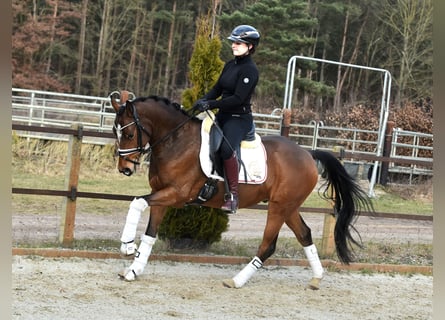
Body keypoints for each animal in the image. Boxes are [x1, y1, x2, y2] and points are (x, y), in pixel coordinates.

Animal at [110, 90, 372, 290]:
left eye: (129, 133)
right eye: (115, 132)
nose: (124, 168)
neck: (176, 141)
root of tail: (308, 154)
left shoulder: (176, 194)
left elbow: (137, 202)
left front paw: (127, 245)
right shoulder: (161, 194)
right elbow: (150, 233)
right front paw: (133, 269)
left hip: (279, 208)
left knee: (268, 245)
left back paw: (236, 280)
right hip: (289, 206)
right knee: (304, 234)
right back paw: (317, 278)